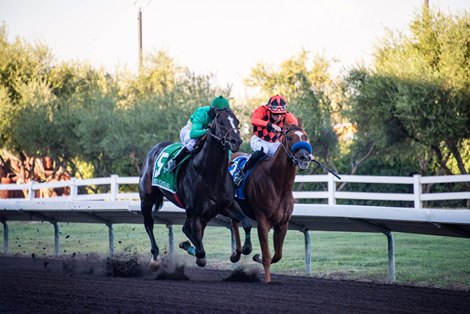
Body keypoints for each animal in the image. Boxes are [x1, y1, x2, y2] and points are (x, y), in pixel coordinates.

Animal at [138, 108, 252, 270]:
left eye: (237, 122)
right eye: (221, 122)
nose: (235, 141)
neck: (210, 174)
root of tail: (153, 149)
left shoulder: (226, 205)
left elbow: (247, 222)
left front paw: (246, 249)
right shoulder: (194, 211)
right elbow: (200, 250)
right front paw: (192, 250)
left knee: (186, 228)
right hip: (147, 200)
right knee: (149, 224)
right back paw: (155, 257)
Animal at [230, 120, 312, 282]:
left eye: (305, 137)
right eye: (290, 138)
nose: (304, 157)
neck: (277, 184)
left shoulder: (282, 223)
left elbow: (277, 254)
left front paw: (256, 256)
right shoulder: (262, 220)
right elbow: (267, 257)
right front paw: (267, 281)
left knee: (236, 222)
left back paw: (241, 250)